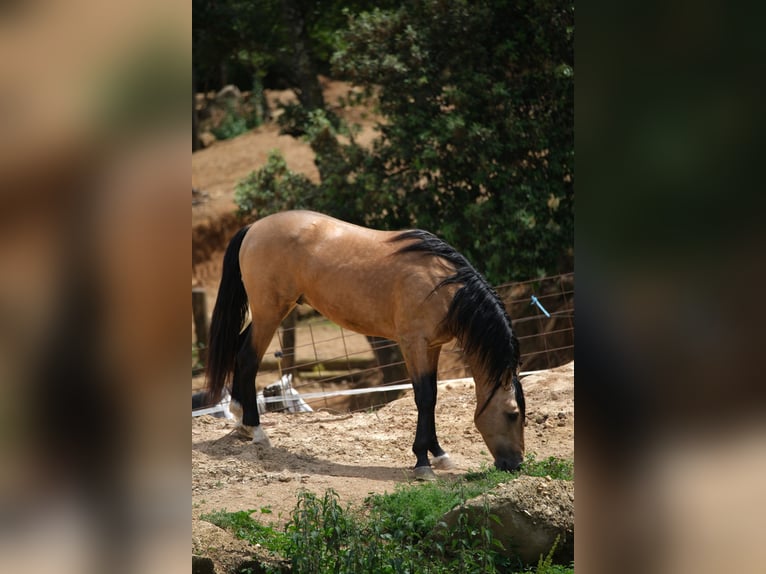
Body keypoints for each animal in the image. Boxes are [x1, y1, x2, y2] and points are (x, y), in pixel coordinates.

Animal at [202, 212, 528, 482]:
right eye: (513, 414)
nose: (515, 465)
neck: (444, 286)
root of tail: (254, 227)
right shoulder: (413, 345)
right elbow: (424, 398)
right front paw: (422, 462)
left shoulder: (431, 347)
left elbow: (433, 398)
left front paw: (439, 454)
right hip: (270, 312)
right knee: (248, 358)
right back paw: (256, 430)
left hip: (268, 313)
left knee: (240, 350)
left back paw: (241, 420)